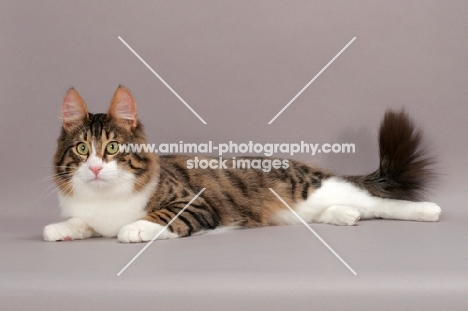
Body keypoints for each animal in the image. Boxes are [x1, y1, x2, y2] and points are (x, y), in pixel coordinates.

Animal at [42, 86, 440, 243]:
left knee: (378, 202)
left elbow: (158, 218)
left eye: (111, 147)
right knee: (349, 209)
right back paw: (344, 216)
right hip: (304, 207)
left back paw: (427, 211)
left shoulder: (195, 204)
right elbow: (81, 223)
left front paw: (134, 229)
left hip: (316, 188)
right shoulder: (89, 214)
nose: (95, 168)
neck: (105, 199)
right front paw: (60, 229)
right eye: (82, 149)